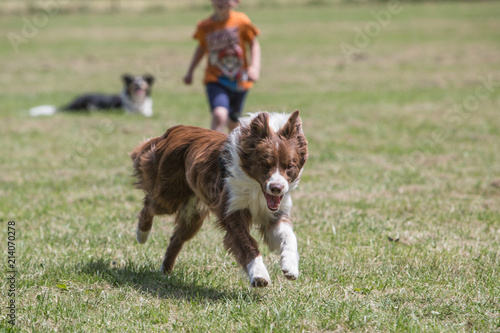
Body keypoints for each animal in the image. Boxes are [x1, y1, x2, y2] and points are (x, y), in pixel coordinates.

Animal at [131, 111, 306, 286]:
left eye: (290, 166)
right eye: (265, 164)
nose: (277, 188)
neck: (256, 188)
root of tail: (172, 131)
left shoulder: (274, 215)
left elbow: (289, 236)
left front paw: (290, 266)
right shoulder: (232, 212)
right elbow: (247, 244)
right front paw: (259, 275)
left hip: (193, 212)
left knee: (177, 238)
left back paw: (165, 272)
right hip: (170, 194)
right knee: (149, 205)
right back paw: (142, 234)